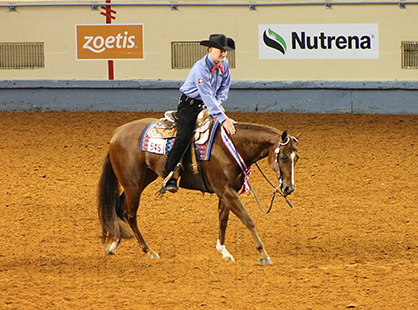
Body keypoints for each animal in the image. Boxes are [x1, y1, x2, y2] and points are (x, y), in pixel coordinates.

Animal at [97, 117, 300, 266]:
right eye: (282, 157)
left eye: (296, 157)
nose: (288, 188)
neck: (230, 147)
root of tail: (117, 134)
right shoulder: (225, 190)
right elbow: (248, 219)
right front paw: (263, 254)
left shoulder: (226, 191)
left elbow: (223, 220)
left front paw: (224, 251)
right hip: (132, 183)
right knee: (129, 214)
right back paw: (149, 250)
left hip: (142, 179)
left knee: (119, 207)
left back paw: (113, 244)